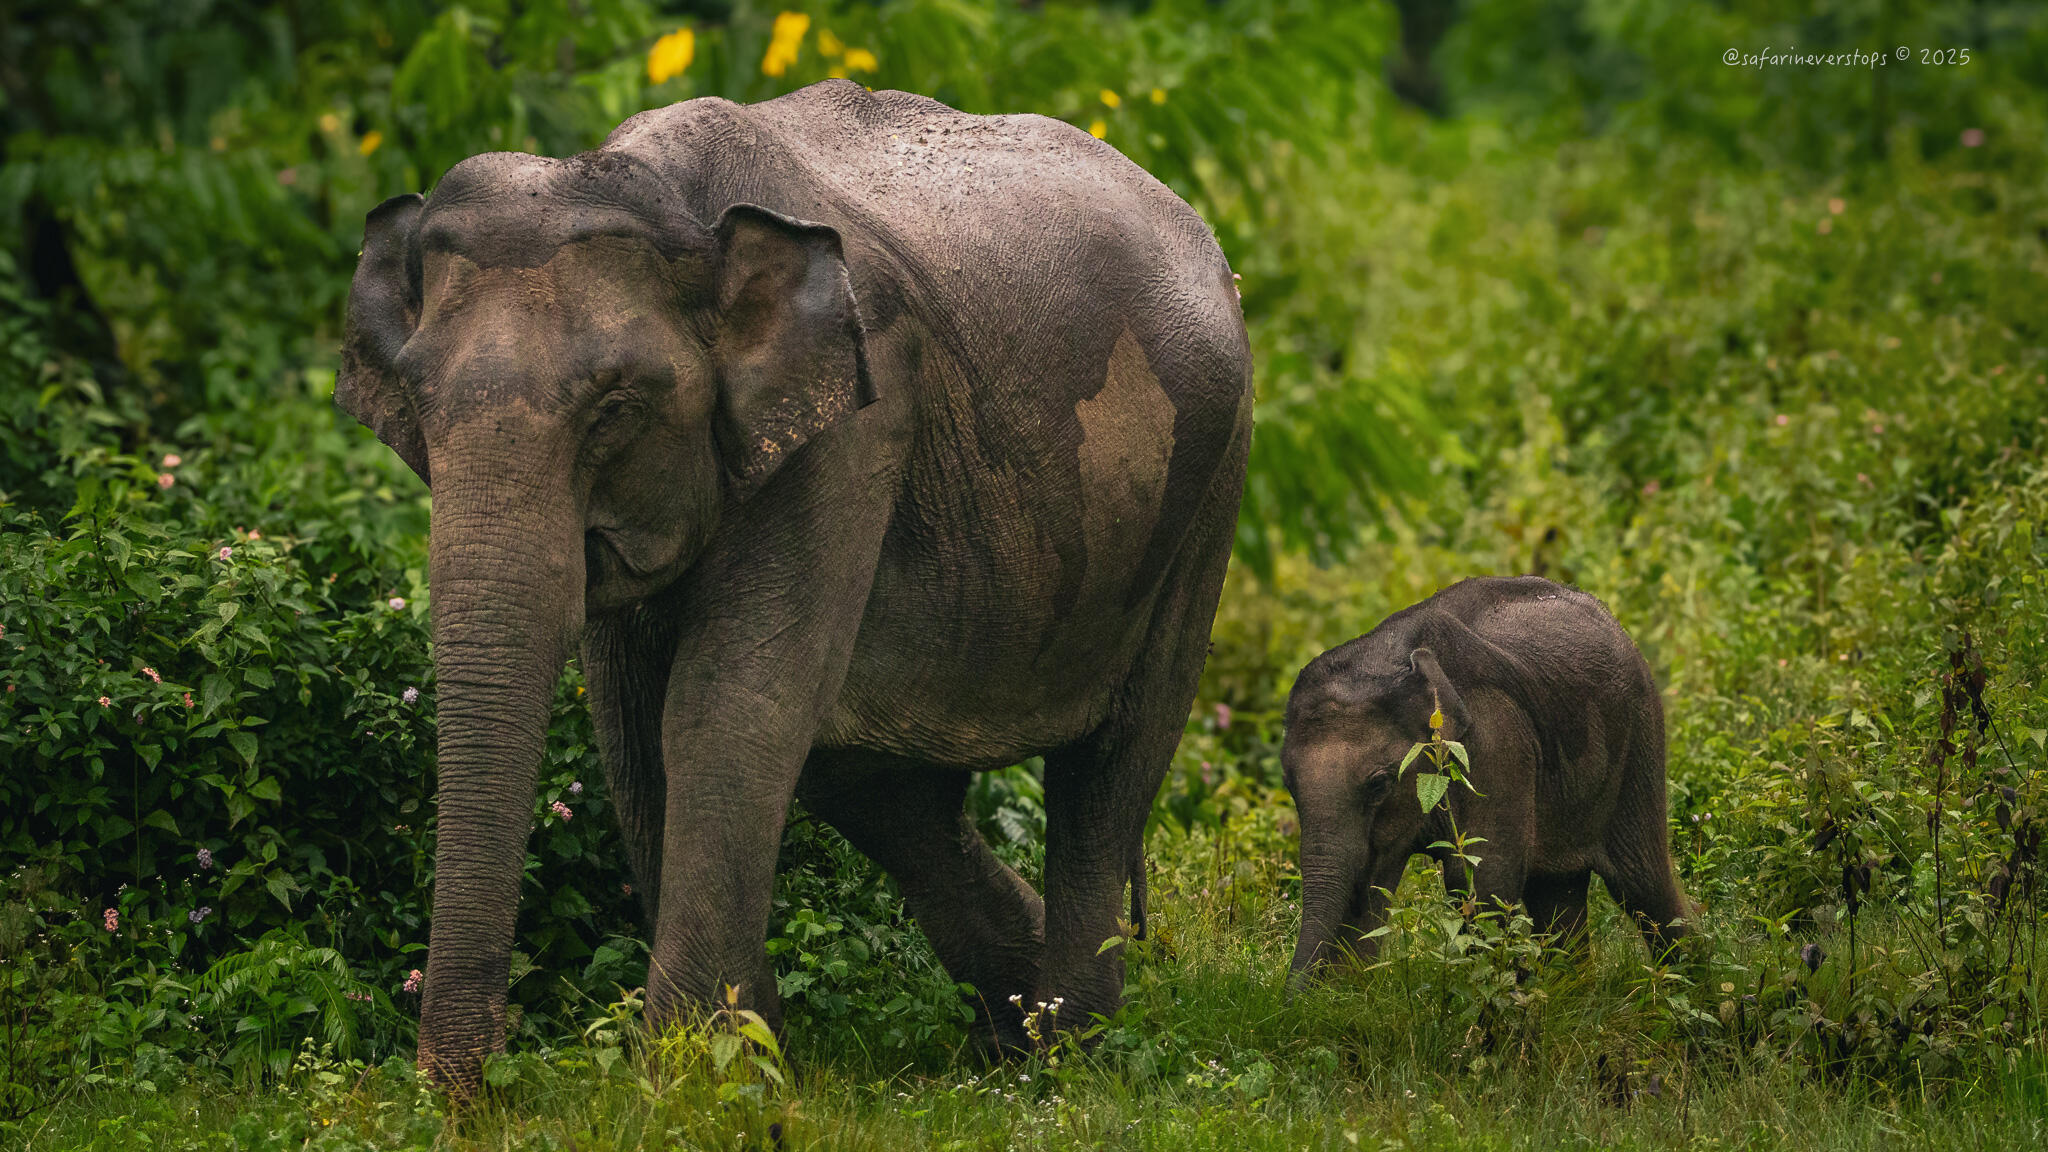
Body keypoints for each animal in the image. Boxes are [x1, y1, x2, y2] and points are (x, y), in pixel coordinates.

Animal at [335, 79, 1252, 1092]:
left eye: (615, 408)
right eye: (415, 404)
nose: (475, 1095)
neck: (662, 192)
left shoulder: (863, 413)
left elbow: (728, 705)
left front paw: (698, 1073)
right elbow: (632, 727)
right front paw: (741, 1051)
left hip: (1210, 485)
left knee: (1110, 766)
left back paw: (1065, 1059)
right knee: (875, 783)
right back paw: (1009, 1033)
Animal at [1282, 576, 1690, 982]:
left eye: (1379, 784)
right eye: (1289, 785)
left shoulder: (1497, 738)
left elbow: (1481, 878)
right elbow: (1371, 892)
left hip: (1640, 738)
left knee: (1641, 884)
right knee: (1557, 891)